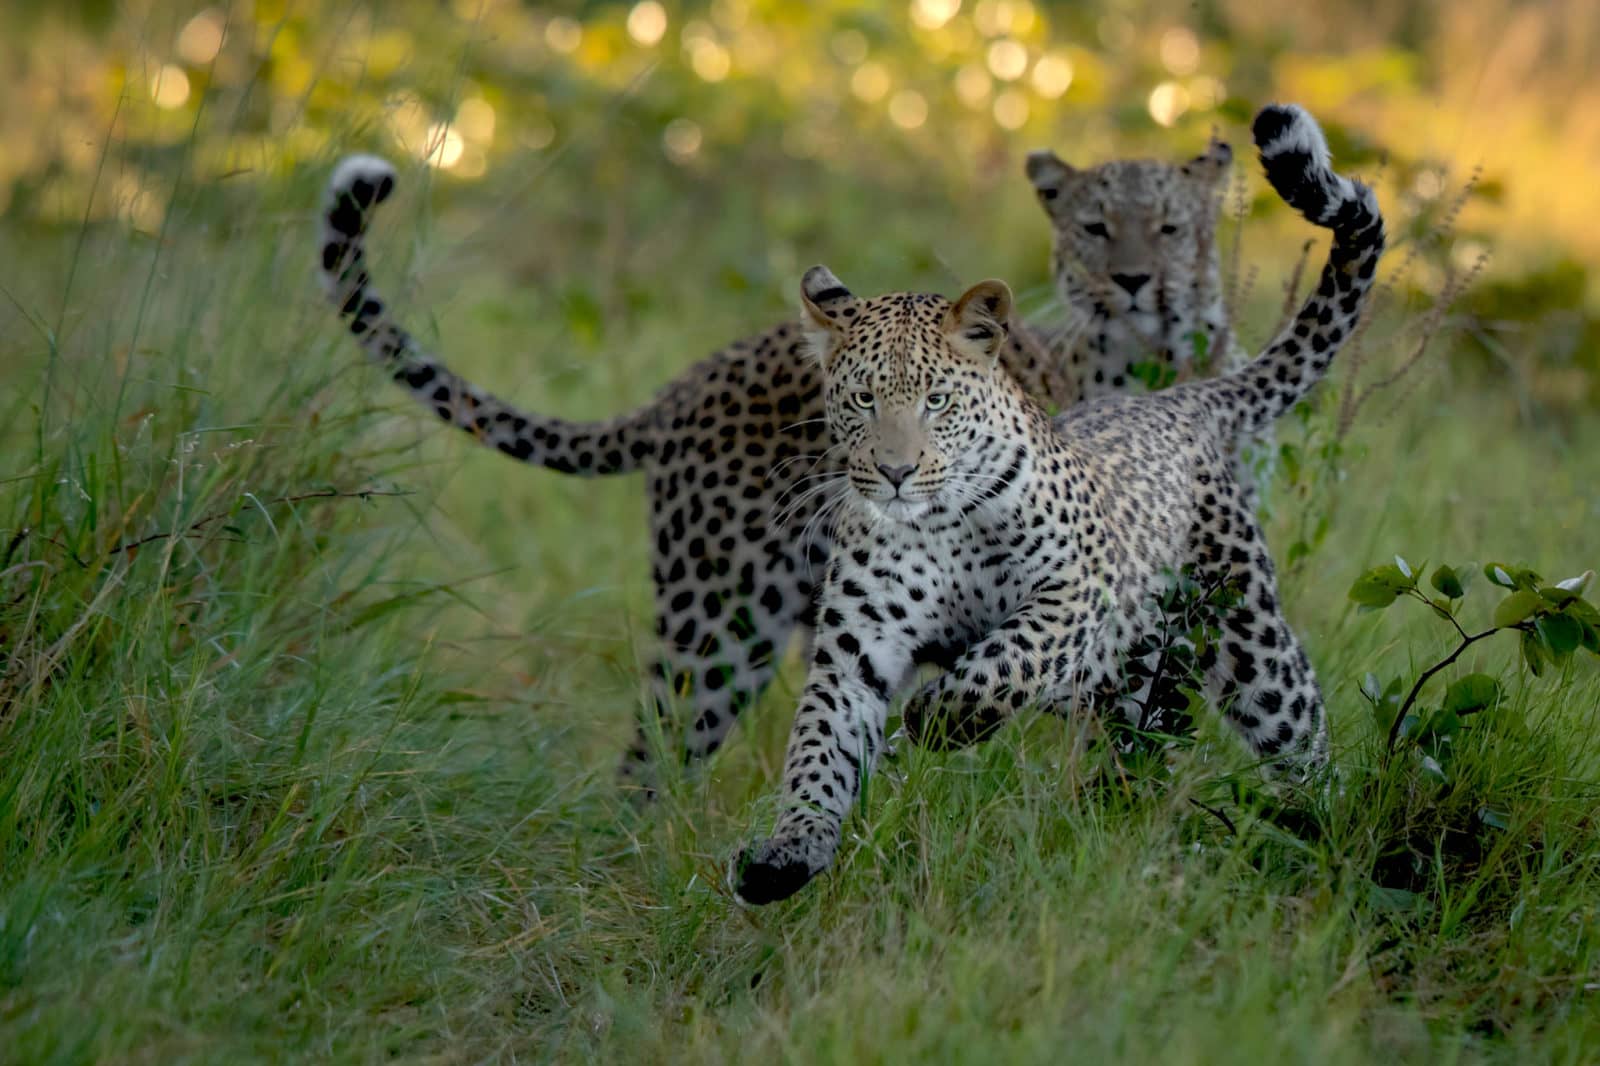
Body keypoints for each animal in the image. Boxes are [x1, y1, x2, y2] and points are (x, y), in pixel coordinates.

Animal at [317, 137, 1247, 795]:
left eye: (1173, 229)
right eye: (1095, 228)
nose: (1136, 281)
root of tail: (683, 387)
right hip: (720, 624)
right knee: (652, 758)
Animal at [732, 103, 1386, 905]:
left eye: (936, 401)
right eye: (861, 400)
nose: (894, 471)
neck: (936, 523)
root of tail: (1177, 400)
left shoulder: (1075, 594)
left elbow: (1006, 660)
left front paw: (939, 720)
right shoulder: (857, 648)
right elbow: (820, 751)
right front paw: (788, 853)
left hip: (1250, 643)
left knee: (1304, 737)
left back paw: (1336, 836)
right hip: (1138, 685)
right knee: (1143, 746)